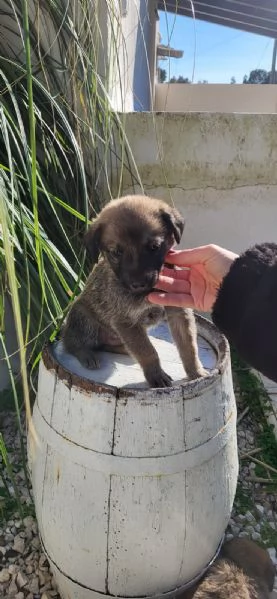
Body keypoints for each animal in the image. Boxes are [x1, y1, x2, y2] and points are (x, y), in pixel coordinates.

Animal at [62, 195, 205, 386]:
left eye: (154, 247)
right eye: (116, 252)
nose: (138, 285)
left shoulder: (178, 313)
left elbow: (188, 346)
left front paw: (196, 371)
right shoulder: (126, 321)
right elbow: (147, 352)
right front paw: (156, 375)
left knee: (108, 345)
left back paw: (122, 349)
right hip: (83, 317)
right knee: (71, 342)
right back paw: (86, 355)